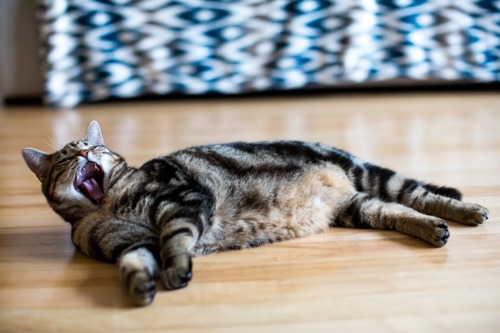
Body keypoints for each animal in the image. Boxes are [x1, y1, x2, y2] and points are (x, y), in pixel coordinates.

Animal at [22, 120, 488, 304]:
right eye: (66, 157)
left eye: (94, 147)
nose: (85, 152)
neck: (107, 206)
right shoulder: (128, 244)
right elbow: (134, 264)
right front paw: (141, 287)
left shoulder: (183, 200)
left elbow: (175, 237)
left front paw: (177, 271)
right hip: (358, 207)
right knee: (398, 211)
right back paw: (434, 230)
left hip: (370, 176)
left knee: (420, 194)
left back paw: (469, 211)